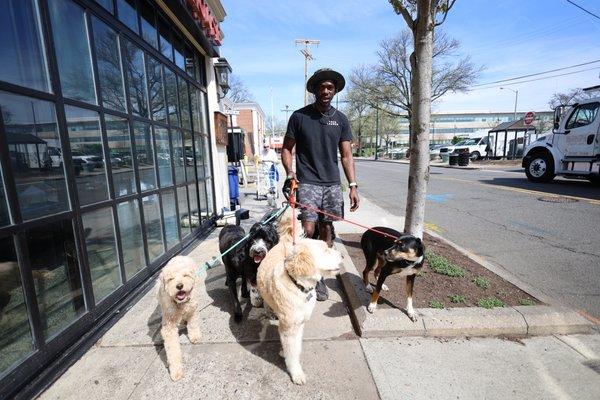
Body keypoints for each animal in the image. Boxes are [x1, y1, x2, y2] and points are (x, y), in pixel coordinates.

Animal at [256, 211, 342, 386]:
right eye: (325, 250)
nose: (342, 255)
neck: (298, 286)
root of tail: (286, 241)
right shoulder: (288, 328)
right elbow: (292, 351)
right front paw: (295, 372)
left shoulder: (300, 323)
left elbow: (296, 347)